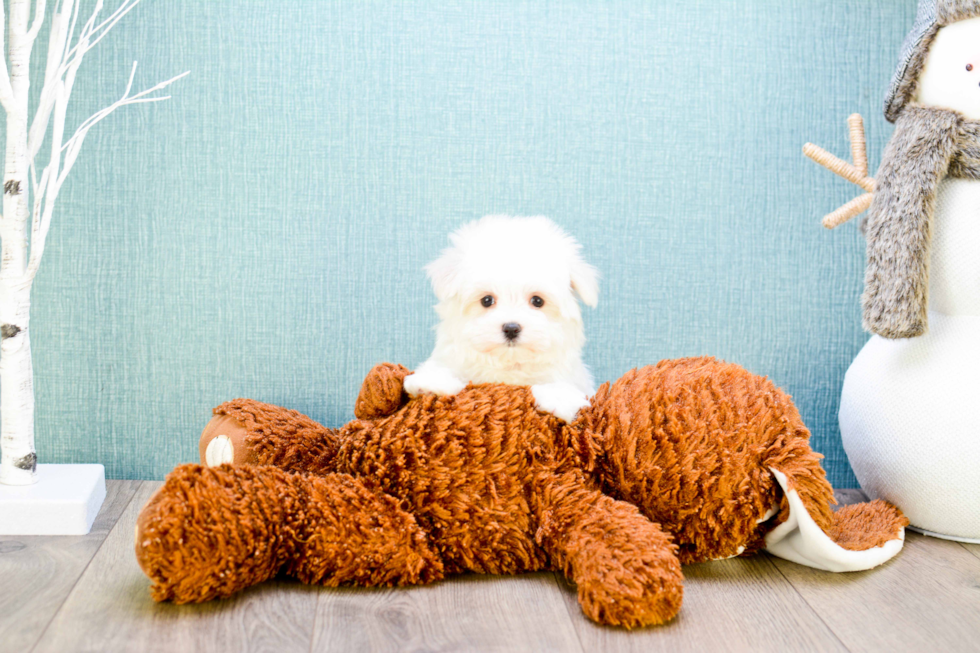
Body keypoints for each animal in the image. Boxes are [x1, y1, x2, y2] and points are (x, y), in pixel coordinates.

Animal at [404, 215, 596, 422]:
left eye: (537, 301)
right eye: (487, 300)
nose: (511, 328)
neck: (508, 365)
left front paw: (559, 398)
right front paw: (432, 382)